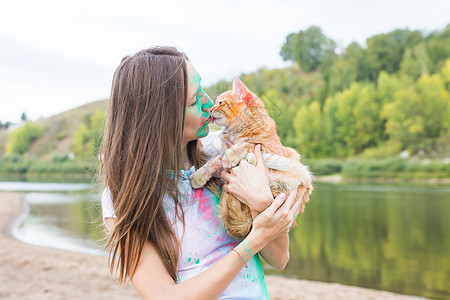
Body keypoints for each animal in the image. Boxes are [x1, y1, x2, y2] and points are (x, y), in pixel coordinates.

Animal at [190, 78, 312, 239]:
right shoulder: (221, 157)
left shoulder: (267, 147)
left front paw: (232, 155)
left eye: (220, 103)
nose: (210, 109)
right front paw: (198, 176)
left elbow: (247, 144)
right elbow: (213, 162)